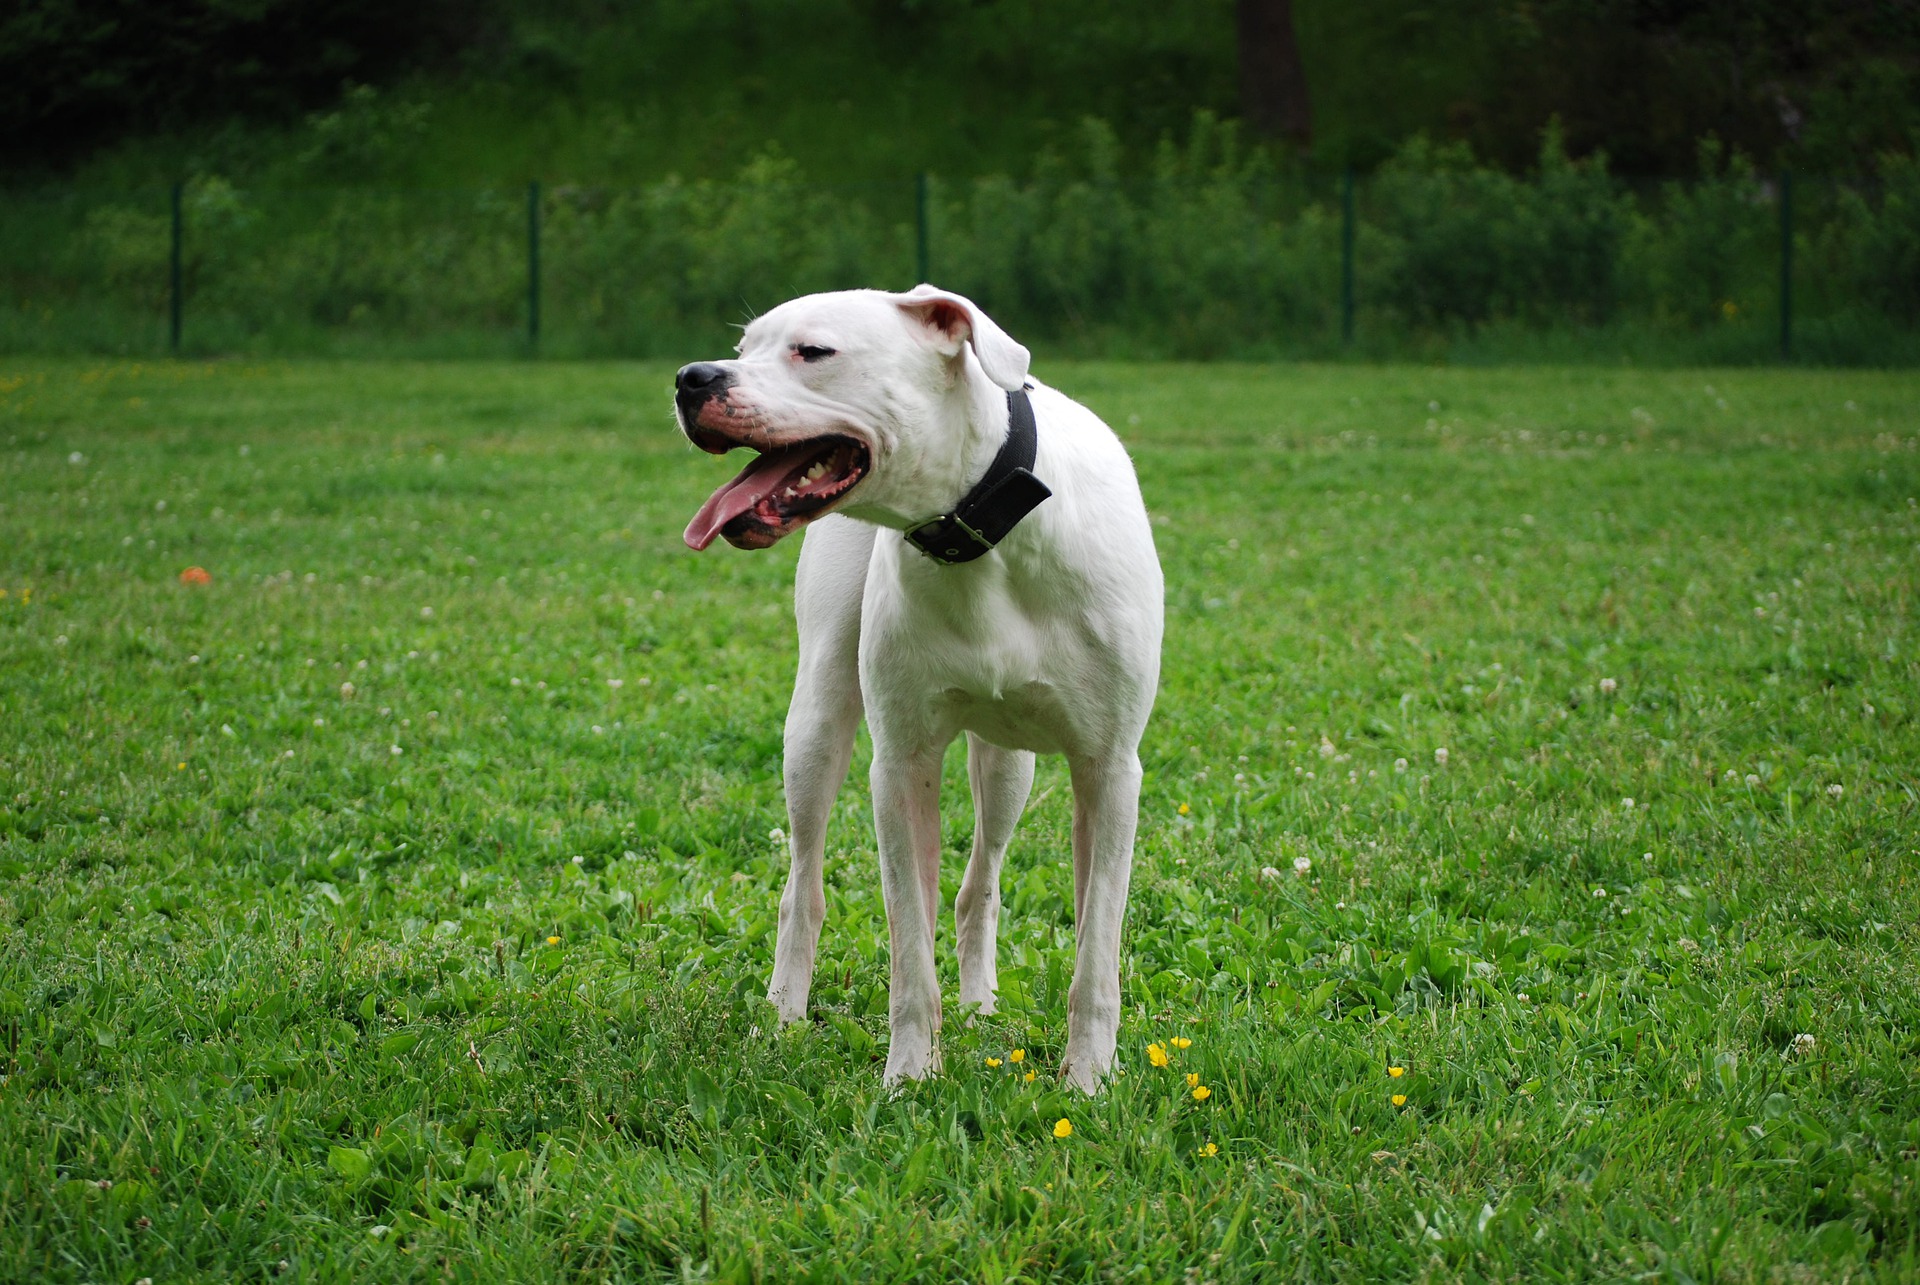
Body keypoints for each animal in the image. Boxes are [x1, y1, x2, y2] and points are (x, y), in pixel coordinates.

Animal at [668, 286, 1159, 1091]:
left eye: (813, 351)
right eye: (743, 348)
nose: (691, 377)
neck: (982, 534)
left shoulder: (1110, 771)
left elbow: (1096, 953)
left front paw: (1087, 1080)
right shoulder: (900, 767)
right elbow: (907, 944)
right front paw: (908, 1077)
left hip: (1010, 767)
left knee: (978, 884)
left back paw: (980, 1005)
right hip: (815, 726)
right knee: (802, 885)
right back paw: (784, 1013)